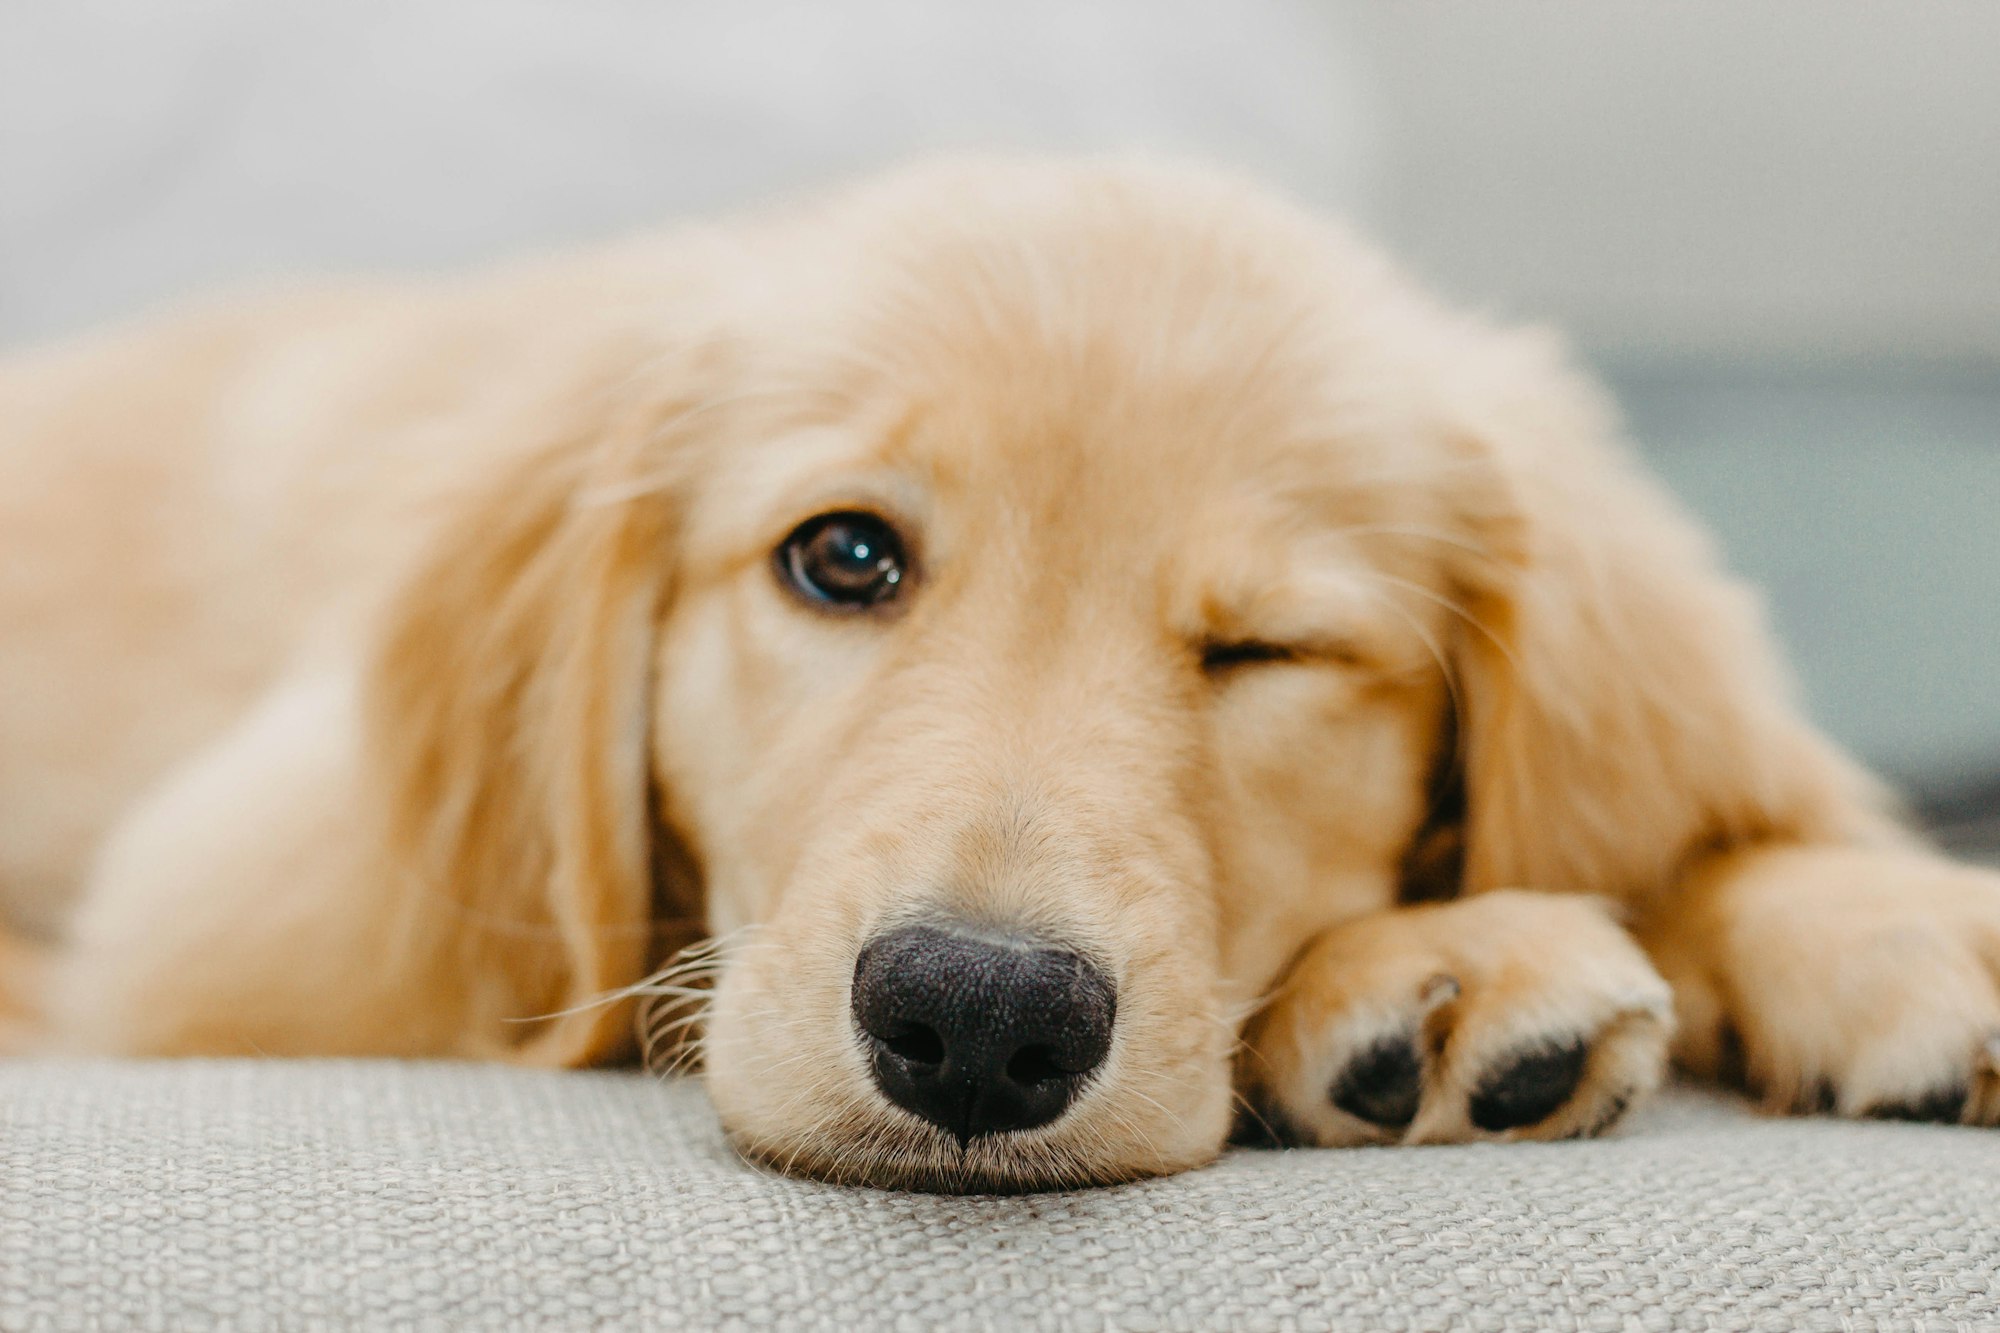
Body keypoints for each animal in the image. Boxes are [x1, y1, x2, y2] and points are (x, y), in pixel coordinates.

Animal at [3, 156, 2000, 1184]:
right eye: (844, 556)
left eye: (1267, 648)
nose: (973, 1017)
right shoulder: (232, 935)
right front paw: (1436, 956)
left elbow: (1713, 828)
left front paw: (1889, 917)